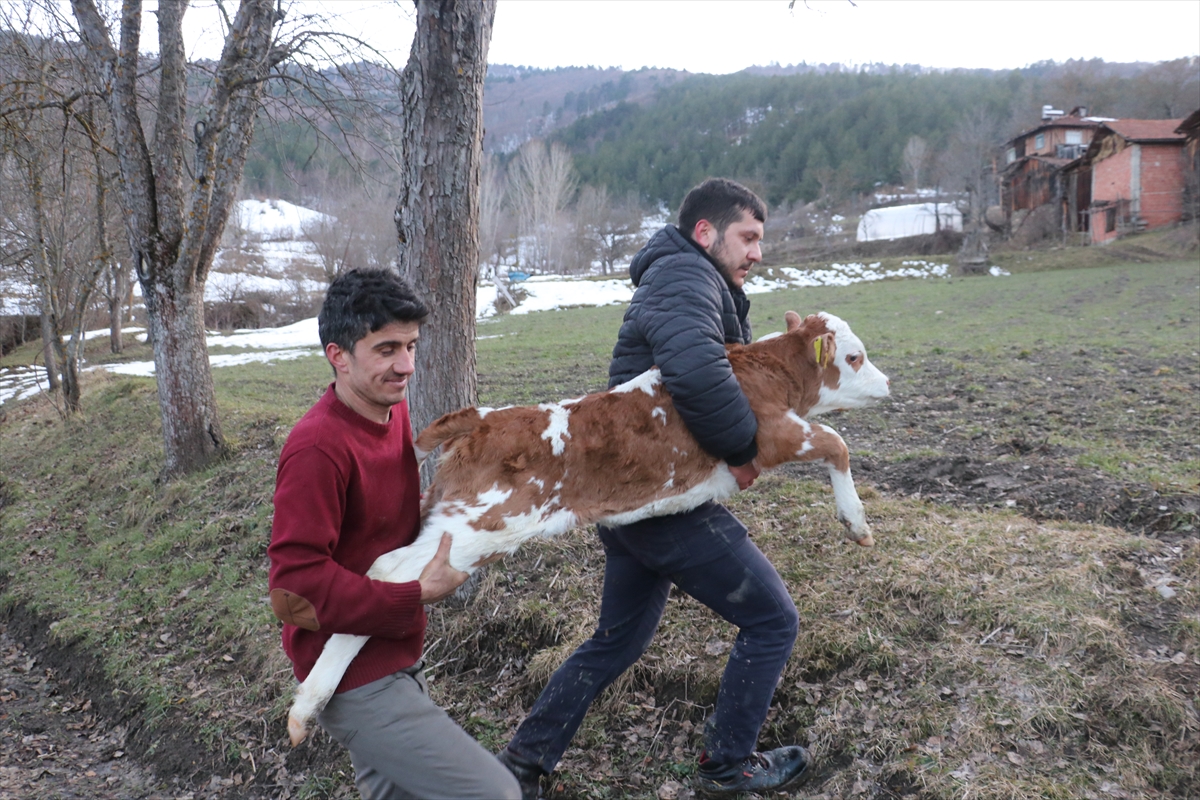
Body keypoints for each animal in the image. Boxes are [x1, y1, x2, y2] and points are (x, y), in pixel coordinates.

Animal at [288, 309, 892, 748]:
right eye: (855, 356)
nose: (887, 383)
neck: (762, 372)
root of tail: (484, 417)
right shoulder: (769, 437)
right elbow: (837, 441)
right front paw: (856, 522)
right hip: (482, 526)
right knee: (389, 571)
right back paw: (308, 703)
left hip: (456, 521)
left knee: (386, 569)